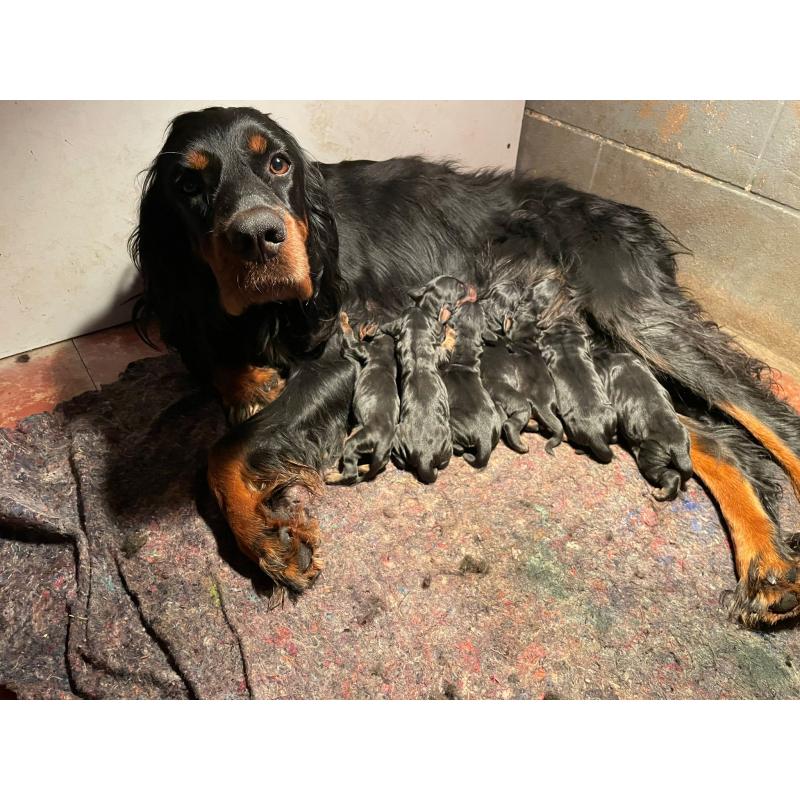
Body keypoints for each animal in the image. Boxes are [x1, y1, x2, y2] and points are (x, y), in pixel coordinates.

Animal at [324, 316, 400, 484]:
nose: (364, 321)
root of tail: (383, 442)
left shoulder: (358, 347)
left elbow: (348, 334)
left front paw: (344, 318)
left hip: (353, 443)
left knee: (351, 474)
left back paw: (333, 477)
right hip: (380, 453)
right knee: (380, 465)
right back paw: (364, 468)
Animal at [382, 304, 454, 482]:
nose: (414, 305)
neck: (416, 341)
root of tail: (425, 458)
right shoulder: (441, 353)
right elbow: (448, 343)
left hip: (398, 439)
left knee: (400, 461)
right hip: (447, 441)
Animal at [440, 300, 504, 466]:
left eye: (459, 307)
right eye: (482, 311)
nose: (474, 300)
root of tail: (484, 437)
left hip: (453, 420)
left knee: (459, 445)